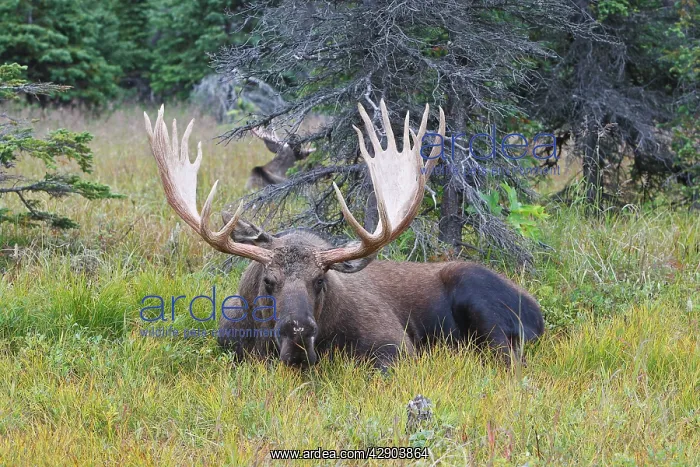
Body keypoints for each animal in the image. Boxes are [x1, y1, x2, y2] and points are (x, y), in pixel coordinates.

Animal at [144, 101, 545, 370]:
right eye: (268, 281)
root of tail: (538, 312)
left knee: (509, 359)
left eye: (320, 280)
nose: (298, 331)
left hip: (481, 300)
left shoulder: (396, 344)